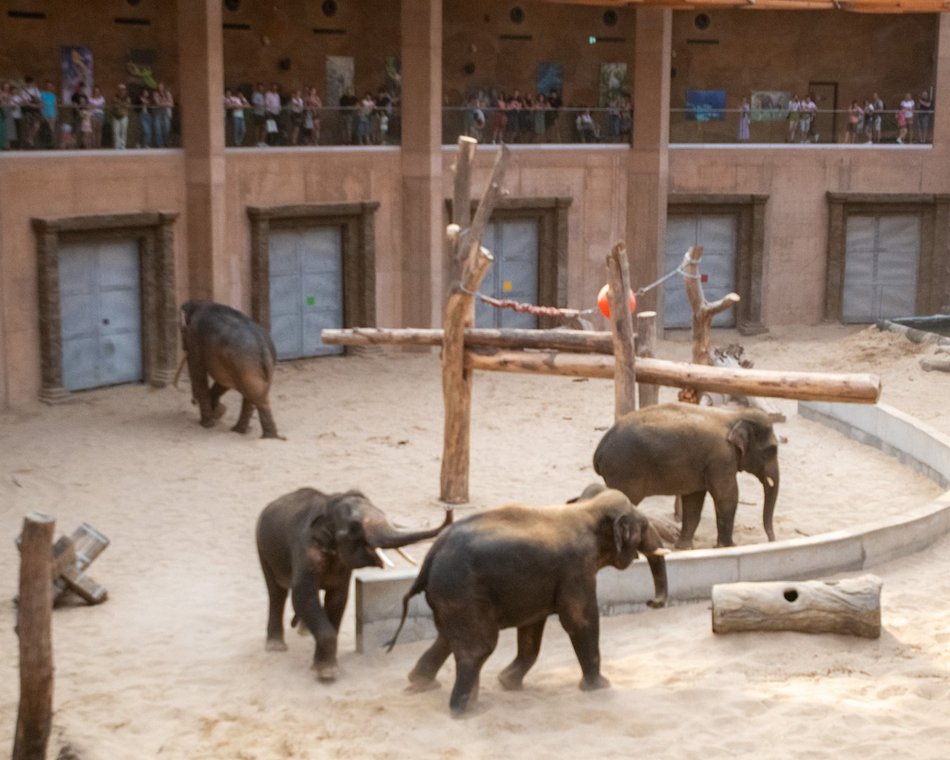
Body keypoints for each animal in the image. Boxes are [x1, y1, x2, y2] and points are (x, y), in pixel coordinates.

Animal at [178, 298, 282, 436]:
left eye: (181, 331)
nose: (193, 401)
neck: (202, 304)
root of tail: (263, 346)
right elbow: (223, 381)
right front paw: (219, 412)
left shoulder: (195, 340)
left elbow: (199, 374)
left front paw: (209, 422)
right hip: (248, 367)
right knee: (254, 394)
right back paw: (242, 431)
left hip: (245, 364)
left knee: (256, 397)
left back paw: (264, 436)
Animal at [256, 486, 454, 684]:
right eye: (355, 527)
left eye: (383, 513)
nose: (448, 508)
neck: (328, 506)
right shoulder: (306, 553)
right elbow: (303, 595)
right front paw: (327, 673)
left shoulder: (342, 566)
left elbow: (338, 599)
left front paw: (320, 666)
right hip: (262, 548)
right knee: (276, 592)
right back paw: (275, 646)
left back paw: (304, 632)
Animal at [386, 490, 668, 716]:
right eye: (644, 525)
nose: (651, 602)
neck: (586, 508)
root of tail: (430, 557)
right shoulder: (577, 569)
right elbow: (579, 621)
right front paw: (600, 688)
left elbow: (532, 628)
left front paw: (507, 683)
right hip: (463, 593)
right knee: (478, 648)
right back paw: (466, 711)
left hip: (450, 599)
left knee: (446, 638)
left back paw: (421, 684)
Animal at [596, 400, 780, 548]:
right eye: (771, 450)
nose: (772, 541)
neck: (735, 416)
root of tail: (599, 449)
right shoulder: (721, 458)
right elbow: (726, 496)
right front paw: (728, 547)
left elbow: (694, 500)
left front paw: (684, 547)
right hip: (624, 470)